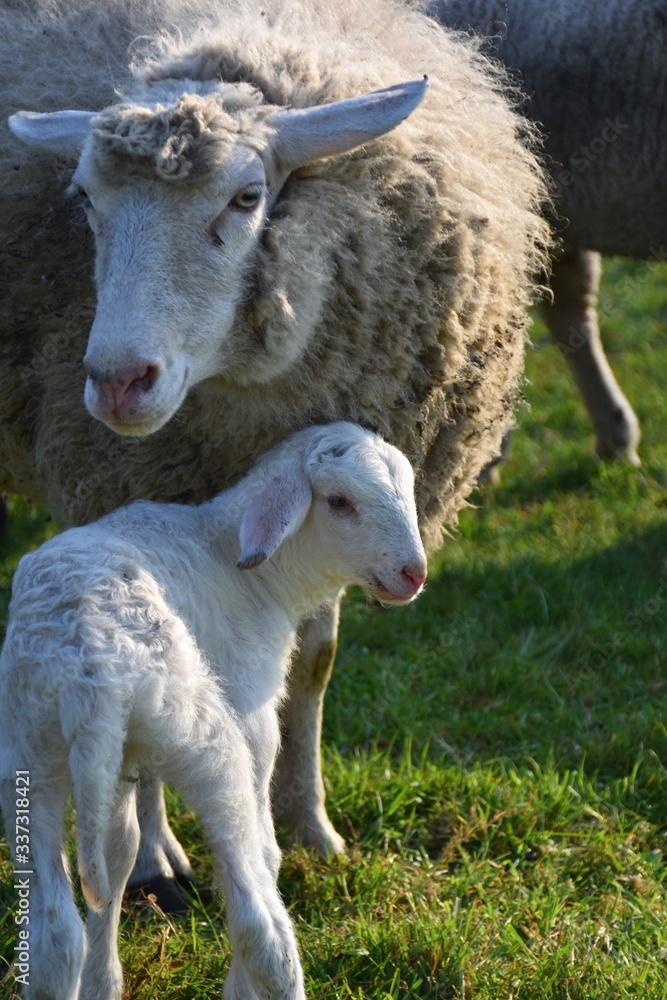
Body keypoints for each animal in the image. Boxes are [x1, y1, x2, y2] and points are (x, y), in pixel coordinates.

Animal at [0, 0, 549, 895]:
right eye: (83, 200)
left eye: (247, 196)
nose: (116, 381)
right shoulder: (120, 492)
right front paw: (153, 858)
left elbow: (312, 664)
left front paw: (310, 824)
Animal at [0, 421, 428, 1000]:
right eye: (339, 501)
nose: (414, 573)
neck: (239, 562)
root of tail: (87, 667)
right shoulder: (255, 714)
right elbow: (266, 852)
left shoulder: (122, 762)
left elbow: (119, 851)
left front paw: (104, 980)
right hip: (207, 740)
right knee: (259, 923)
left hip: (31, 751)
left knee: (55, 933)